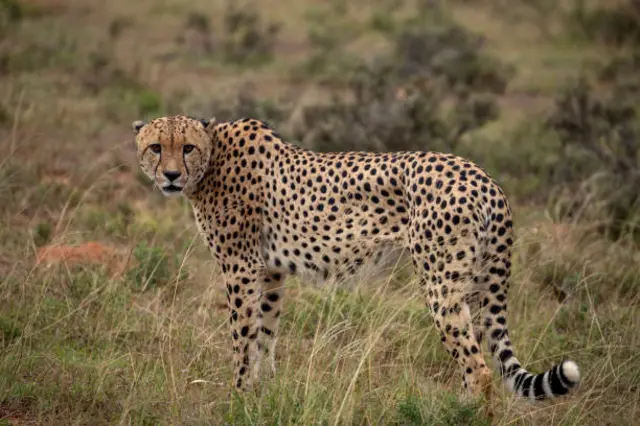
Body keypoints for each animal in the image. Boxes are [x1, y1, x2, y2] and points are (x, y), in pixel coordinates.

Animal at [132, 114, 581, 404]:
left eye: (186, 148)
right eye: (156, 147)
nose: (170, 175)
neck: (213, 159)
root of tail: (483, 176)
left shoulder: (240, 268)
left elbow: (242, 338)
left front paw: (238, 396)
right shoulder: (271, 272)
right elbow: (266, 335)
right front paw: (265, 393)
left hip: (441, 284)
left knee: (479, 369)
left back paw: (462, 413)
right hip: (477, 285)